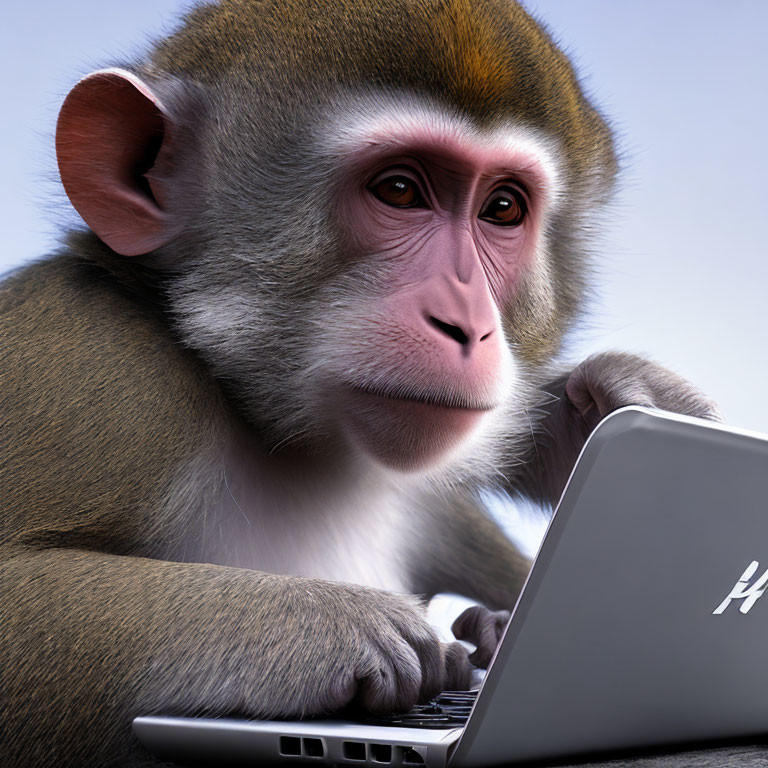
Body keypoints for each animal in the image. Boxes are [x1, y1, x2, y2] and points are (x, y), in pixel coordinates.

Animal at [0, 1, 722, 766]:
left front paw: (603, 410)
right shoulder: (99, 370)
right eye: (399, 190)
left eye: (502, 207)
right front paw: (330, 627)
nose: (466, 324)